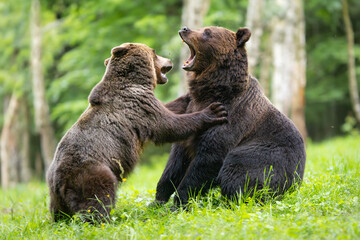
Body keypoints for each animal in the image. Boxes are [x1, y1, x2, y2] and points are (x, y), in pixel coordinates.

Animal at [46, 42, 226, 222]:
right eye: (154, 51)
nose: (169, 60)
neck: (136, 81)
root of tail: (58, 180)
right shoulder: (138, 105)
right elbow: (168, 125)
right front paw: (214, 111)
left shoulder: (143, 105)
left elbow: (170, 108)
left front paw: (187, 95)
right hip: (91, 172)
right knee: (99, 198)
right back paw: (104, 220)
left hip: (55, 195)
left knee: (59, 211)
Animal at [153, 25, 306, 206]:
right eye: (202, 28)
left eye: (207, 32)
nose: (184, 29)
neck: (213, 91)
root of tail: (297, 182)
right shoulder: (190, 111)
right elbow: (175, 162)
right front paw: (157, 201)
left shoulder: (232, 117)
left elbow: (208, 159)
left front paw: (180, 202)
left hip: (269, 154)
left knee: (238, 168)